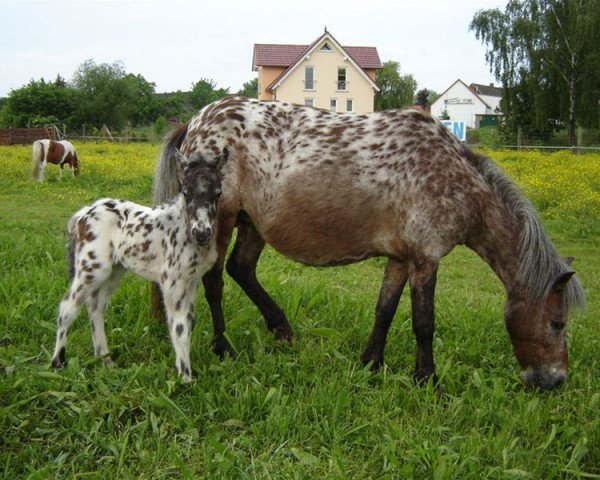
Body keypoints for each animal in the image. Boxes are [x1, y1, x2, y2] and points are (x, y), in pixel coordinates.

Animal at [50, 150, 225, 382]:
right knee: (68, 307)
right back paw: (57, 362)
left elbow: (188, 323)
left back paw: (106, 360)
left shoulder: (192, 281)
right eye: (185, 192)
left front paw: (185, 372)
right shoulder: (172, 281)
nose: (202, 232)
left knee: (96, 307)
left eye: (217, 193)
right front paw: (186, 378)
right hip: (91, 267)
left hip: (114, 271)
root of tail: (82, 213)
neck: (183, 230)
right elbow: (179, 327)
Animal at [151, 94, 584, 390]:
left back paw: (282, 329)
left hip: (251, 224)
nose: (554, 380)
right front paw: (427, 379)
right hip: (219, 220)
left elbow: (385, 310)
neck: (455, 178)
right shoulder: (426, 259)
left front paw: (371, 362)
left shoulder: (401, 258)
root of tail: (195, 122)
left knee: (242, 269)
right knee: (215, 281)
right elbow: (424, 322)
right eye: (558, 322)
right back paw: (223, 348)